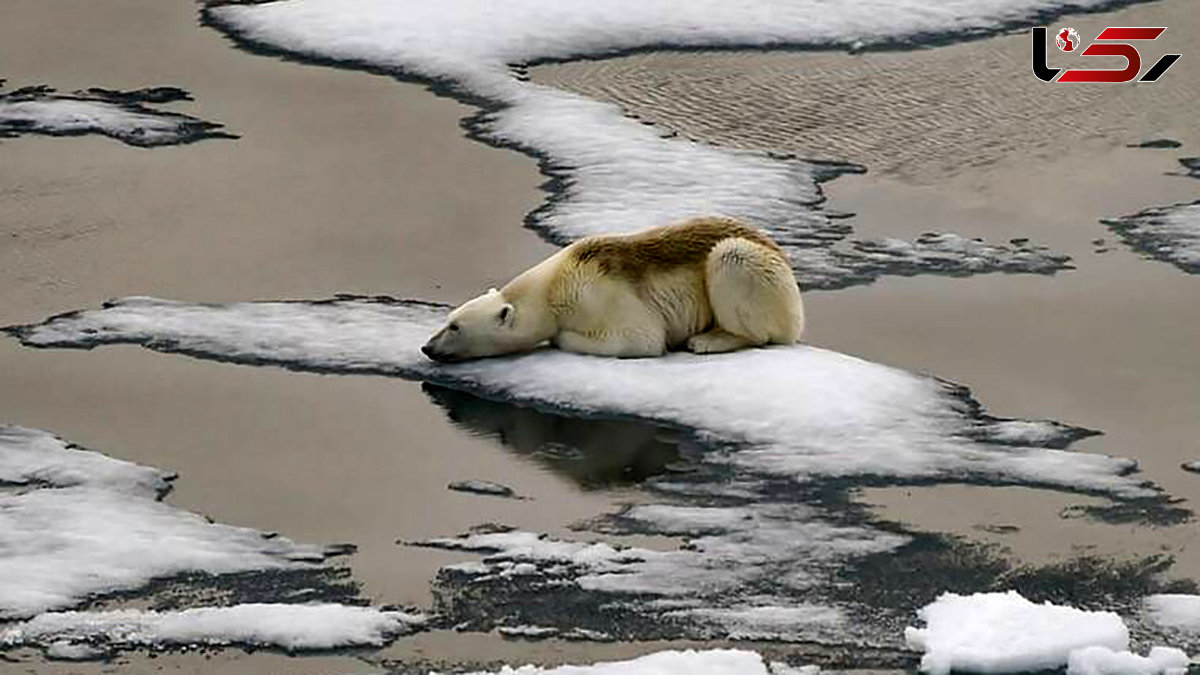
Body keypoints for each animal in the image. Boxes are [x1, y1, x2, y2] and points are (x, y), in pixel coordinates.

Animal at [422, 216, 806, 362]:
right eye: (449, 319)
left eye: (455, 327)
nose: (427, 347)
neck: (555, 284)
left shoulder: (601, 293)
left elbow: (640, 338)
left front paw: (561, 338)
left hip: (758, 271)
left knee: (733, 261)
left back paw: (709, 340)